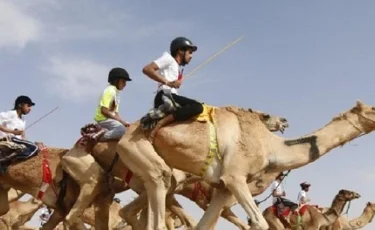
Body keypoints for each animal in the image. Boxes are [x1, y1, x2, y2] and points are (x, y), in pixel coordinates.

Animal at [59, 108, 290, 229]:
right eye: (265, 116)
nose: (284, 121)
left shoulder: (164, 189)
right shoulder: (162, 185)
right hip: (84, 168)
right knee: (76, 209)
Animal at [115, 100, 375, 230]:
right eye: (372, 108)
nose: (284, 121)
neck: (271, 147)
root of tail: (126, 132)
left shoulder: (223, 188)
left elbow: (204, 225)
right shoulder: (235, 177)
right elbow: (259, 223)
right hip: (138, 150)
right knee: (159, 192)